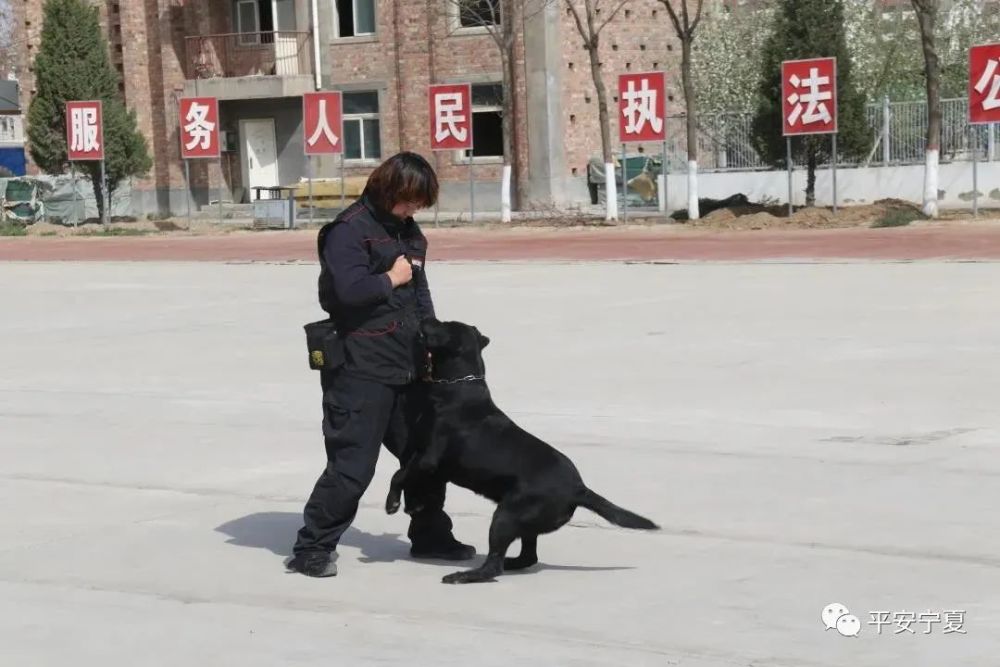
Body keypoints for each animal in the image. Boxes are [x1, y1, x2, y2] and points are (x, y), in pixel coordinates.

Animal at [382, 318, 656, 584]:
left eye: (442, 324)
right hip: (523, 520)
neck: (458, 385)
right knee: (527, 556)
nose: (425, 318)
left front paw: (392, 503)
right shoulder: (426, 461)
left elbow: (399, 474)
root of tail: (579, 489)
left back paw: (464, 576)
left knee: (494, 566)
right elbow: (411, 478)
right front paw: (414, 505)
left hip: (506, 516)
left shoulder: (428, 458)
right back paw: (510, 563)